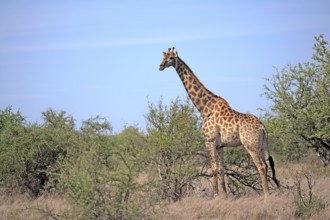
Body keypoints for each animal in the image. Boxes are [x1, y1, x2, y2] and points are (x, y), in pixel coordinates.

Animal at [158, 47, 278, 199]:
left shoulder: (209, 140)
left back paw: (266, 196)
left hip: (251, 145)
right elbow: (221, 168)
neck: (204, 108)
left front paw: (215, 195)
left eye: (171, 58)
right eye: (163, 57)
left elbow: (213, 167)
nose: (160, 66)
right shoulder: (220, 145)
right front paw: (225, 195)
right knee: (267, 165)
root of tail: (263, 127)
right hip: (261, 146)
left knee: (261, 166)